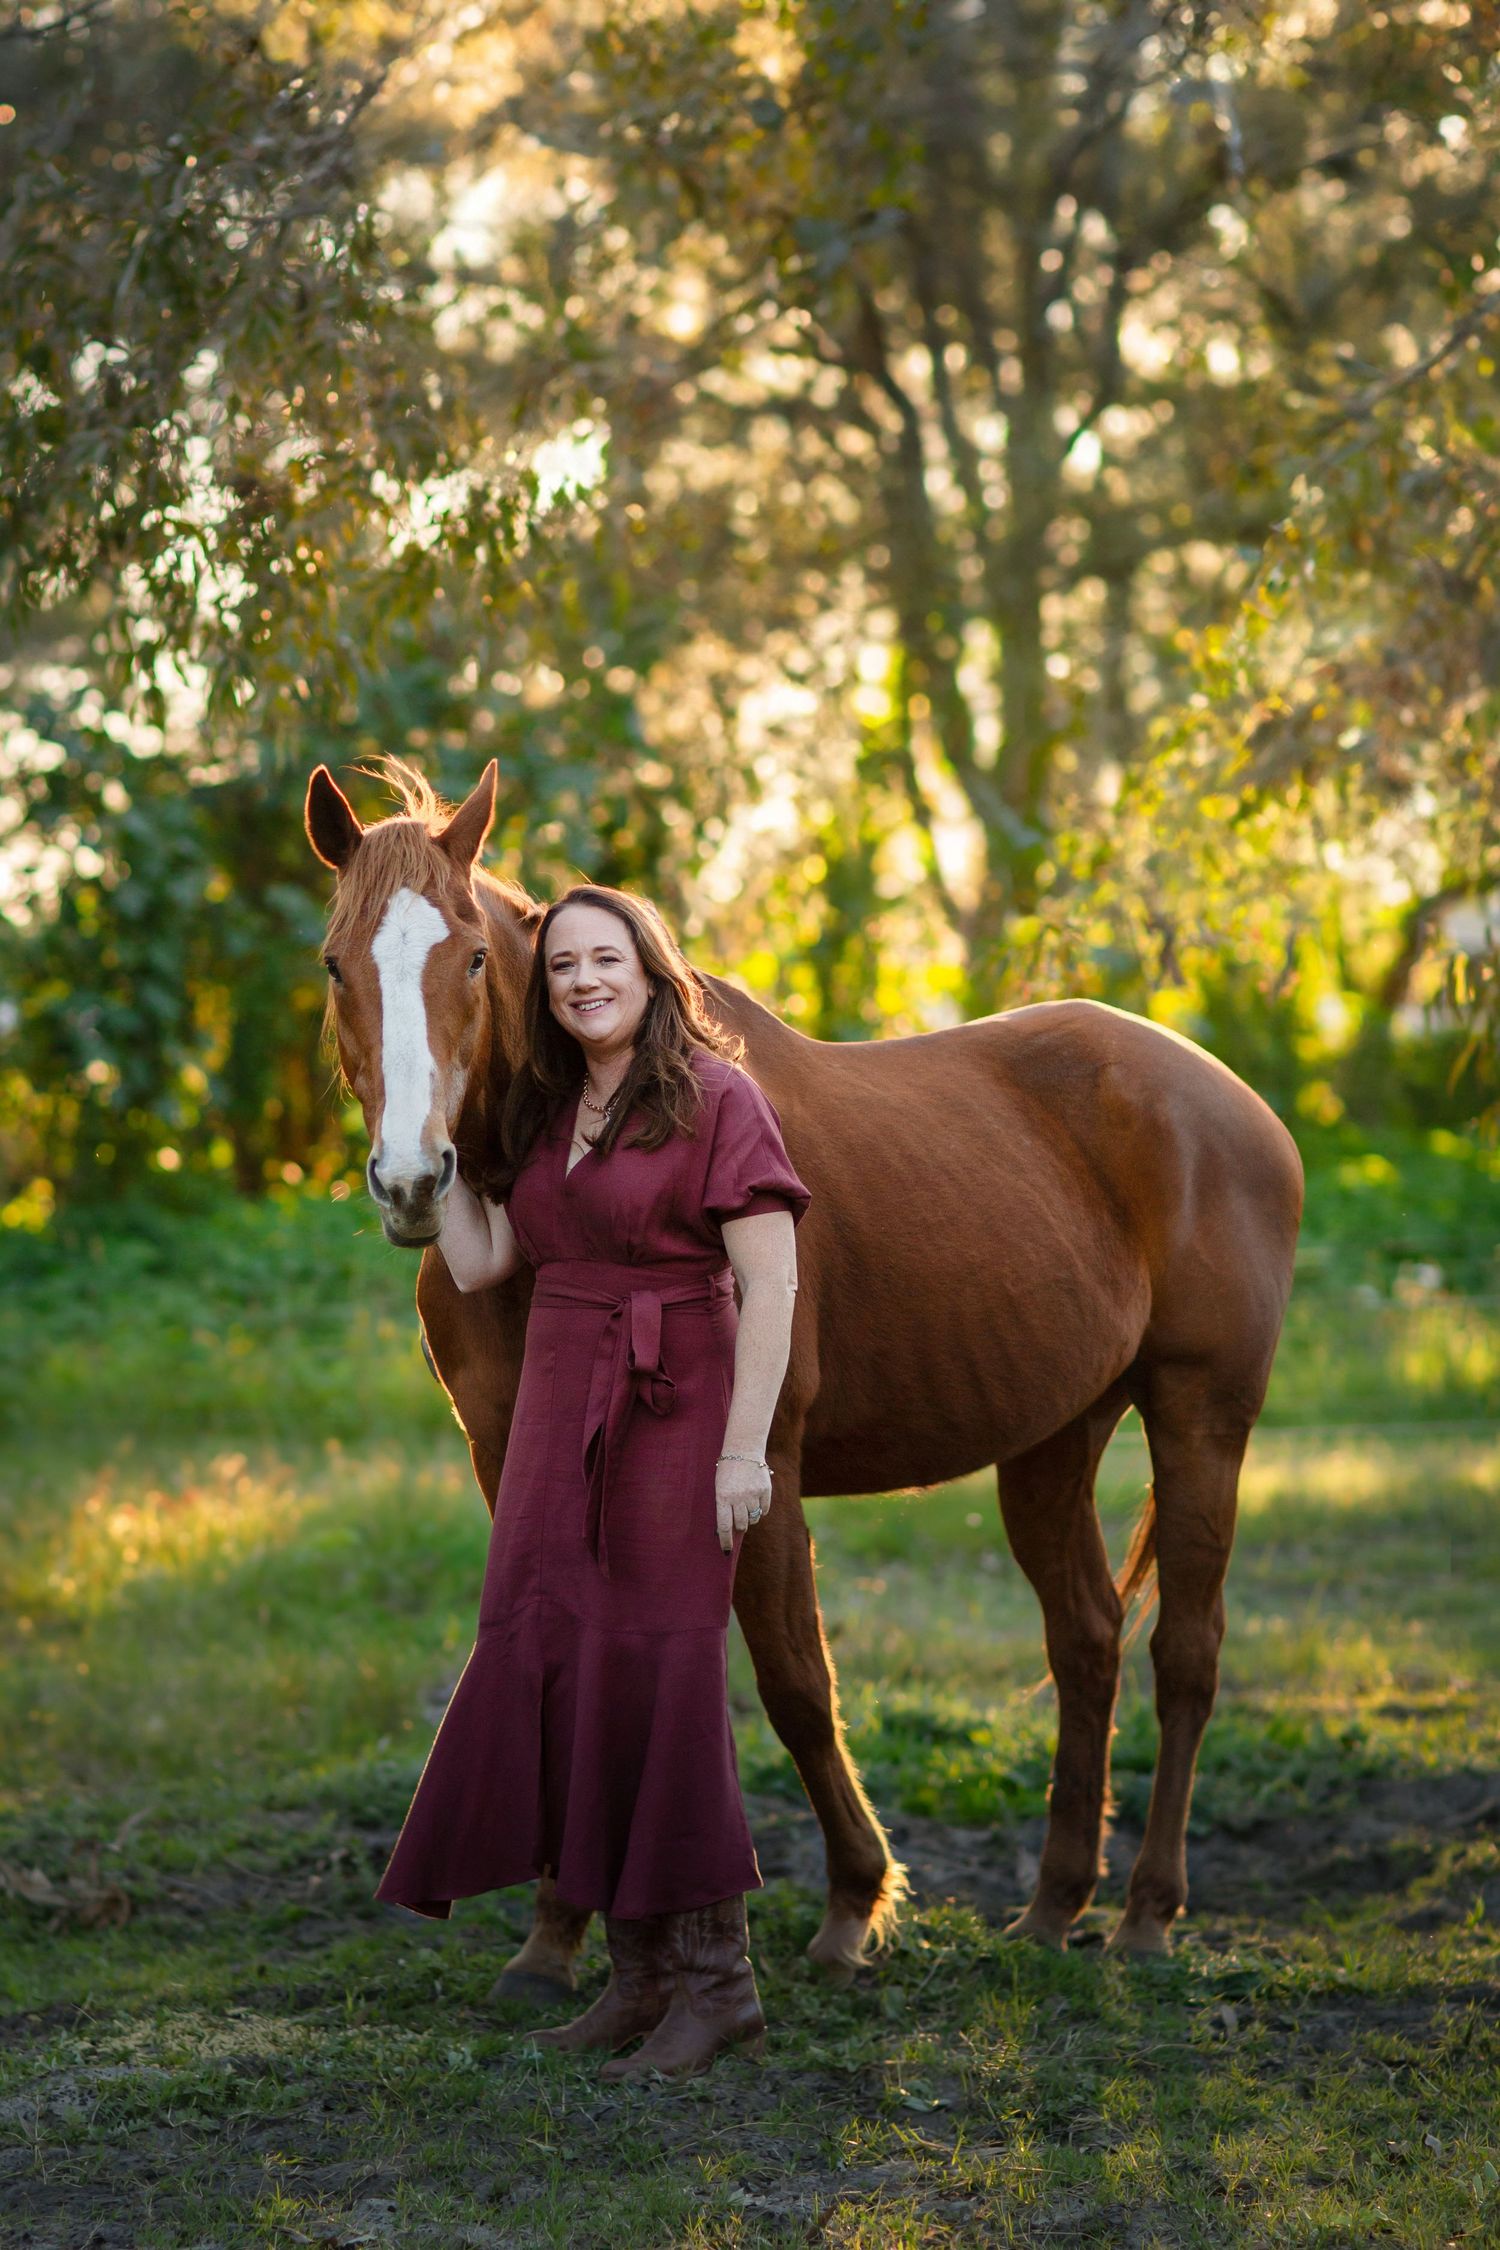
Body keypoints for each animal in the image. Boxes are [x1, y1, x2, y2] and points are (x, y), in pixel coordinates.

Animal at [304, 756, 1303, 1986]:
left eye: (476, 959)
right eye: (336, 962)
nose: (412, 1181)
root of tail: (1230, 1101)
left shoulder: (759, 1470)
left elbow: (795, 1682)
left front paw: (852, 1906)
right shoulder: (513, 1460)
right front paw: (553, 1936)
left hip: (1200, 1416)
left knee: (1186, 1653)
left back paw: (1148, 1914)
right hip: (1053, 1439)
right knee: (1086, 1642)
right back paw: (1054, 1907)